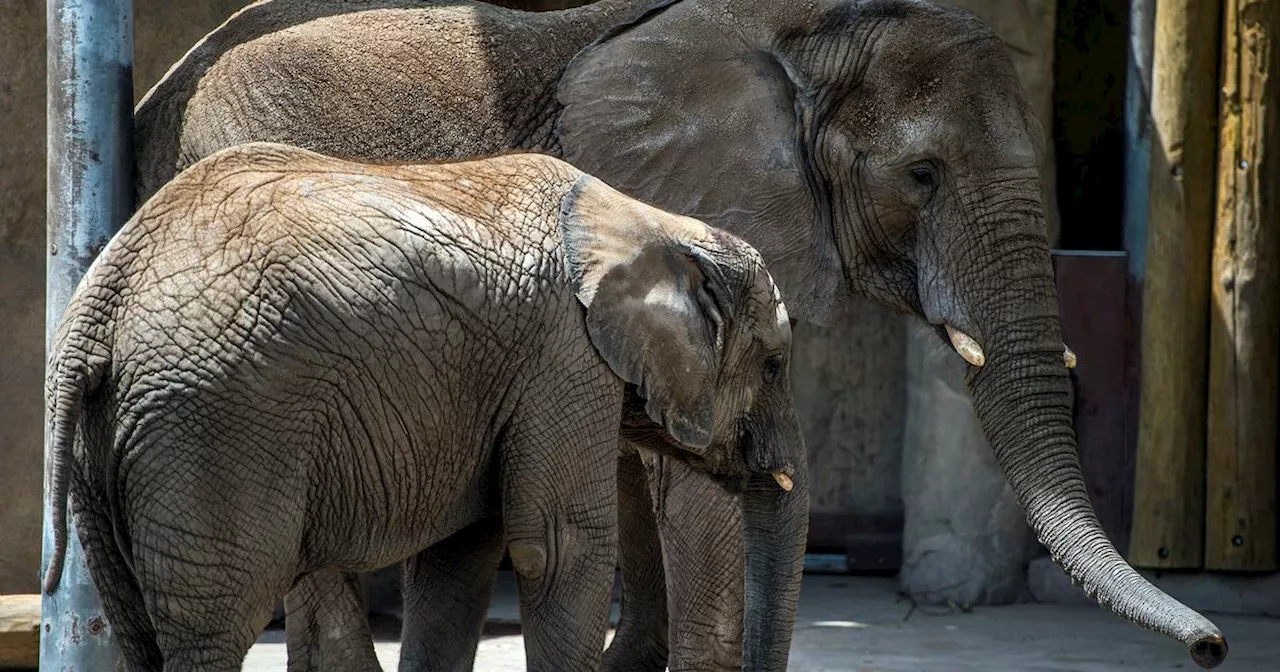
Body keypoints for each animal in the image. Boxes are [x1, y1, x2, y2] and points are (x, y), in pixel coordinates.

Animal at [45, 144, 814, 670]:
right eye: (776, 364)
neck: (649, 221)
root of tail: (101, 298)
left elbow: (460, 561)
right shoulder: (562, 360)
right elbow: (557, 550)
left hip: (107, 443)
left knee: (134, 625)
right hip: (215, 428)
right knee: (213, 630)